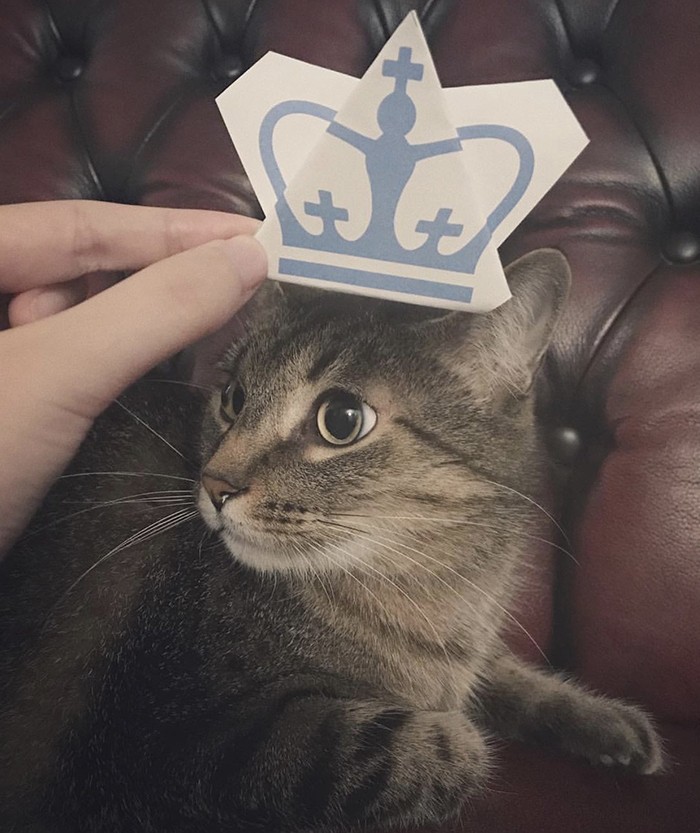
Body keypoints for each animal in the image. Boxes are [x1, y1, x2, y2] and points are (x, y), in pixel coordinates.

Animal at [0, 249, 660, 832]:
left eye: (340, 420)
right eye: (234, 398)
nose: (214, 485)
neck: (433, 595)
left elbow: (506, 675)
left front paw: (607, 724)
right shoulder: (161, 745)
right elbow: (420, 749)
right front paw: (459, 734)